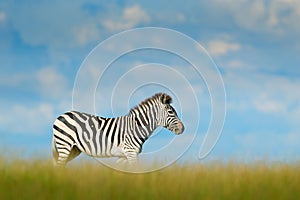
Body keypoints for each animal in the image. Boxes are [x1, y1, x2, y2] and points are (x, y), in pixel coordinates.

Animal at [52, 93, 184, 166]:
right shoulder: (131, 152)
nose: (183, 128)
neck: (136, 127)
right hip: (65, 144)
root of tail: (61, 116)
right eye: (171, 112)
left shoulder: (123, 156)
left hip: (74, 149)